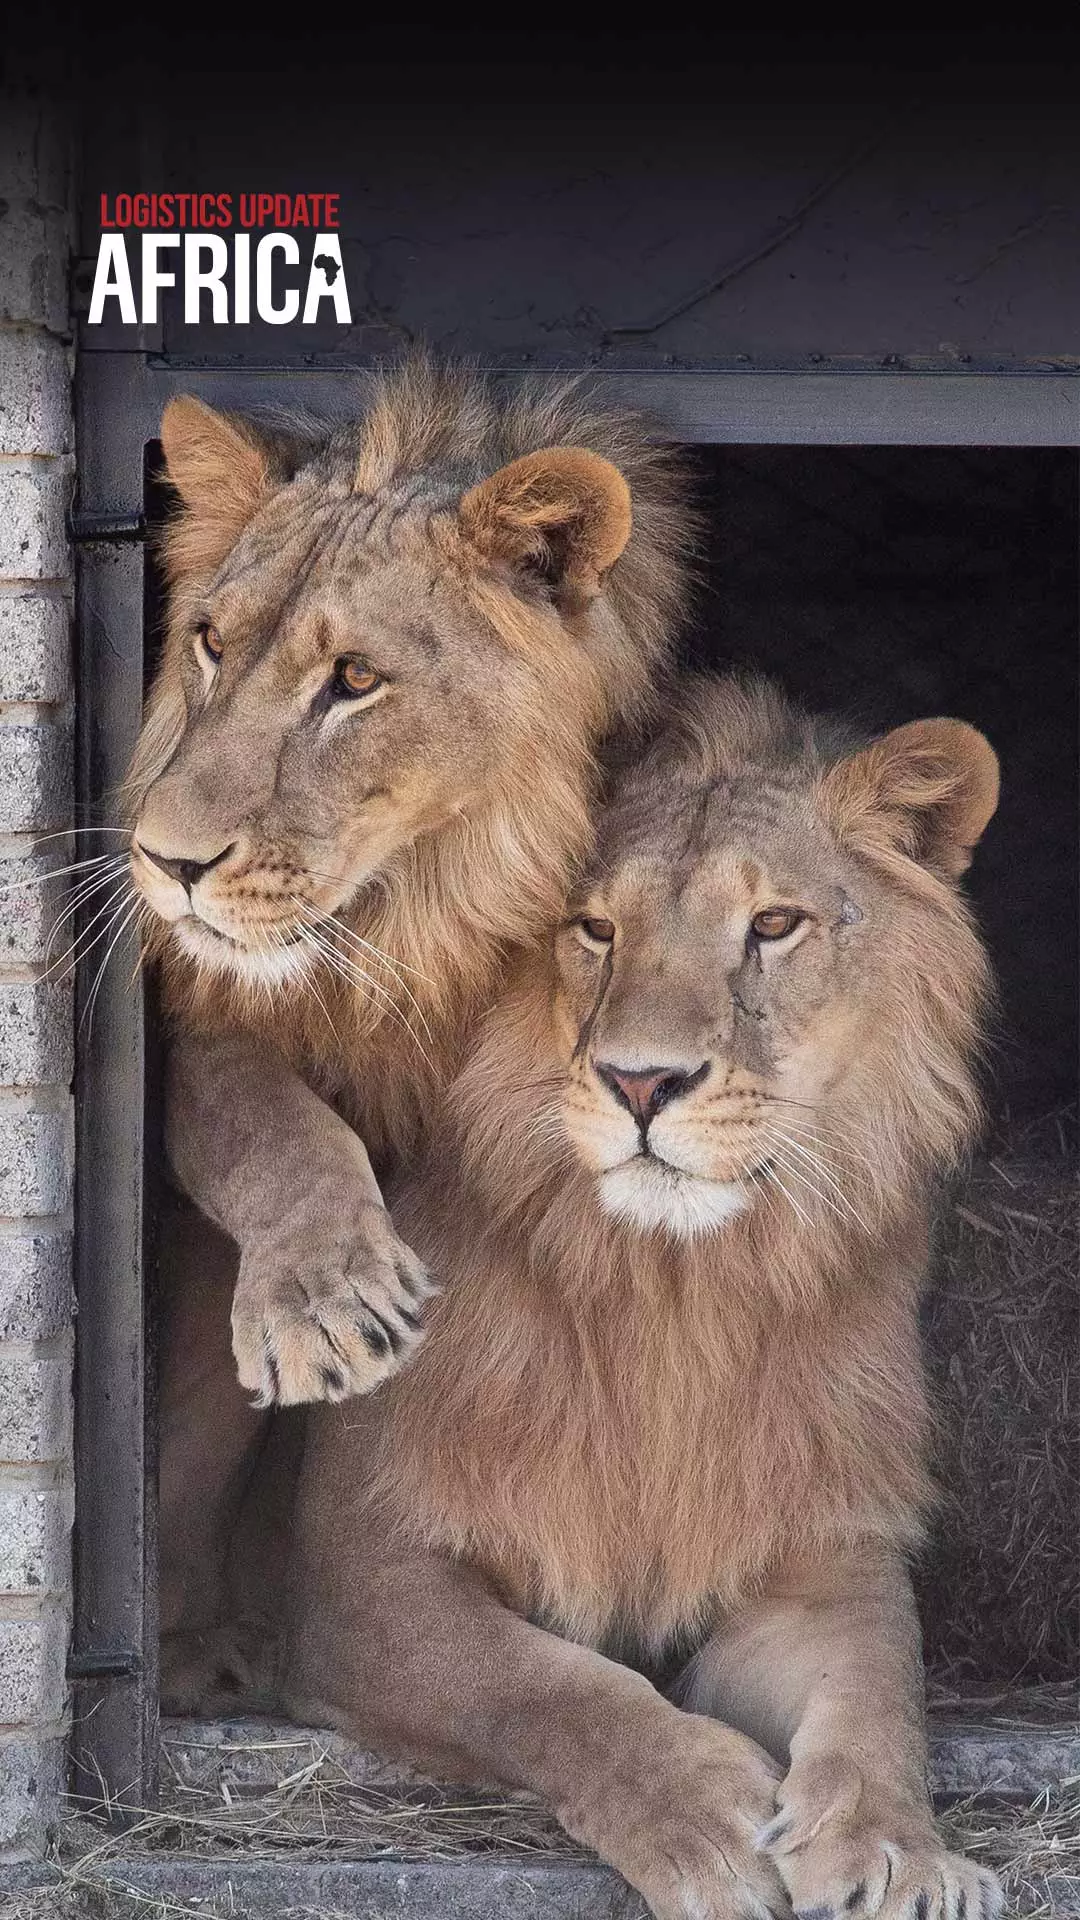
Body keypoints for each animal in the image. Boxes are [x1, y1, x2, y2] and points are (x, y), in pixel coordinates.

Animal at [124, 360, 692, 1675]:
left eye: (354, 680)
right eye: (210, 643)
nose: (165, 864)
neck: (406, 919)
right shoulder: (204, 1022)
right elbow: (270, 1125)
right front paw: (323, 1301)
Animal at [281, 675, 1003, 1920]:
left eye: (774, 925)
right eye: (594, 928)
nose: (641, 1082)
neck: (673, 1294)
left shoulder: (821, 1551)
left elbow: (880, 1693)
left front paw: (896, 1853)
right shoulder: (349, 1571)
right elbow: (533, 1681)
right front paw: (704, 1816)